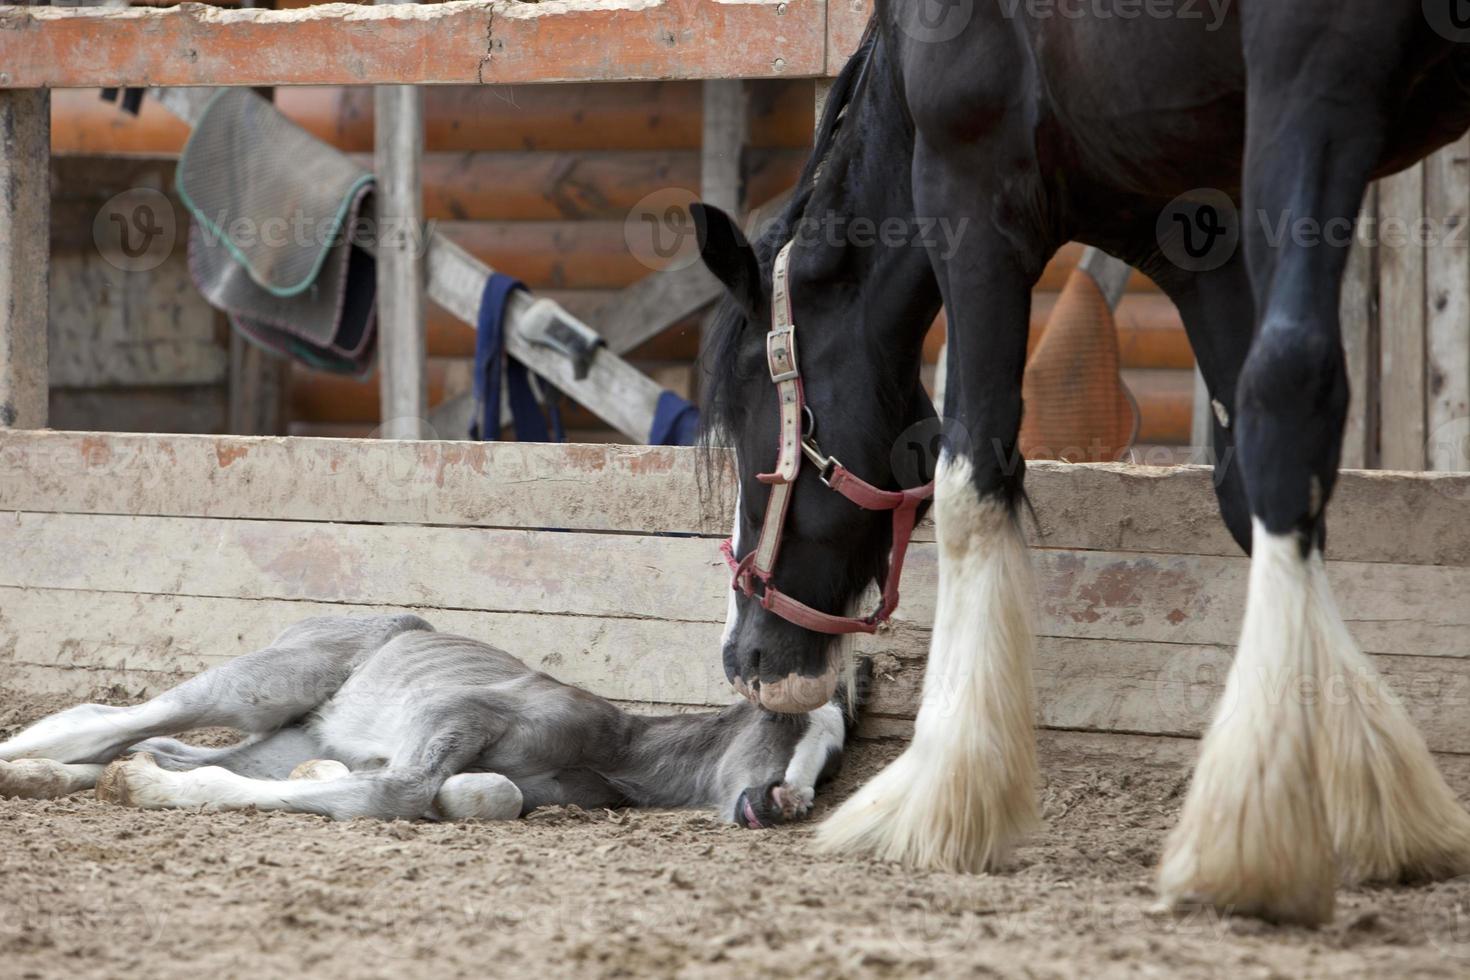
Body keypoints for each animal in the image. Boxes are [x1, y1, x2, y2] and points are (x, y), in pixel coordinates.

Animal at [693, 1, 1470, 928]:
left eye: (751, 411)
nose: (744, 658)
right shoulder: (1194, 223)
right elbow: (1245, 488)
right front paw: (1358, 788)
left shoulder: (970, 191)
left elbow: (973, 477)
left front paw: (938, 792)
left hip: (1313, 76)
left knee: (1292, 379)